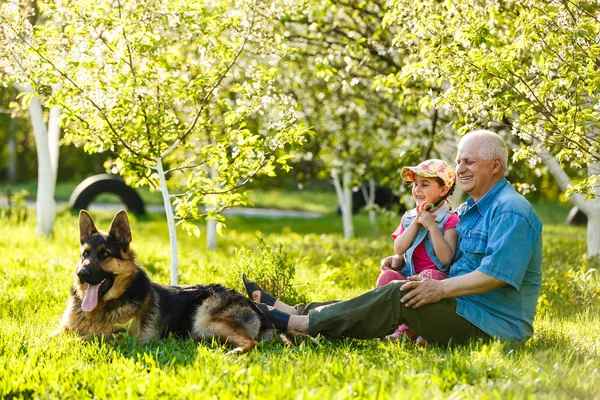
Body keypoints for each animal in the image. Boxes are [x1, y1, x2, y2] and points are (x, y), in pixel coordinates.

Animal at [54, 209, 274, 354]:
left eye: (105, 254)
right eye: (85, 254)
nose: (82, 274)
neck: (101, 308)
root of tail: (254, 306)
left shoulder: (121, 336)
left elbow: (80, 338)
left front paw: (59, 347)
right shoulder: (64, 329)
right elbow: (52, 336)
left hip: (206, 321)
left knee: (252, 344)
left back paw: (232, 353)